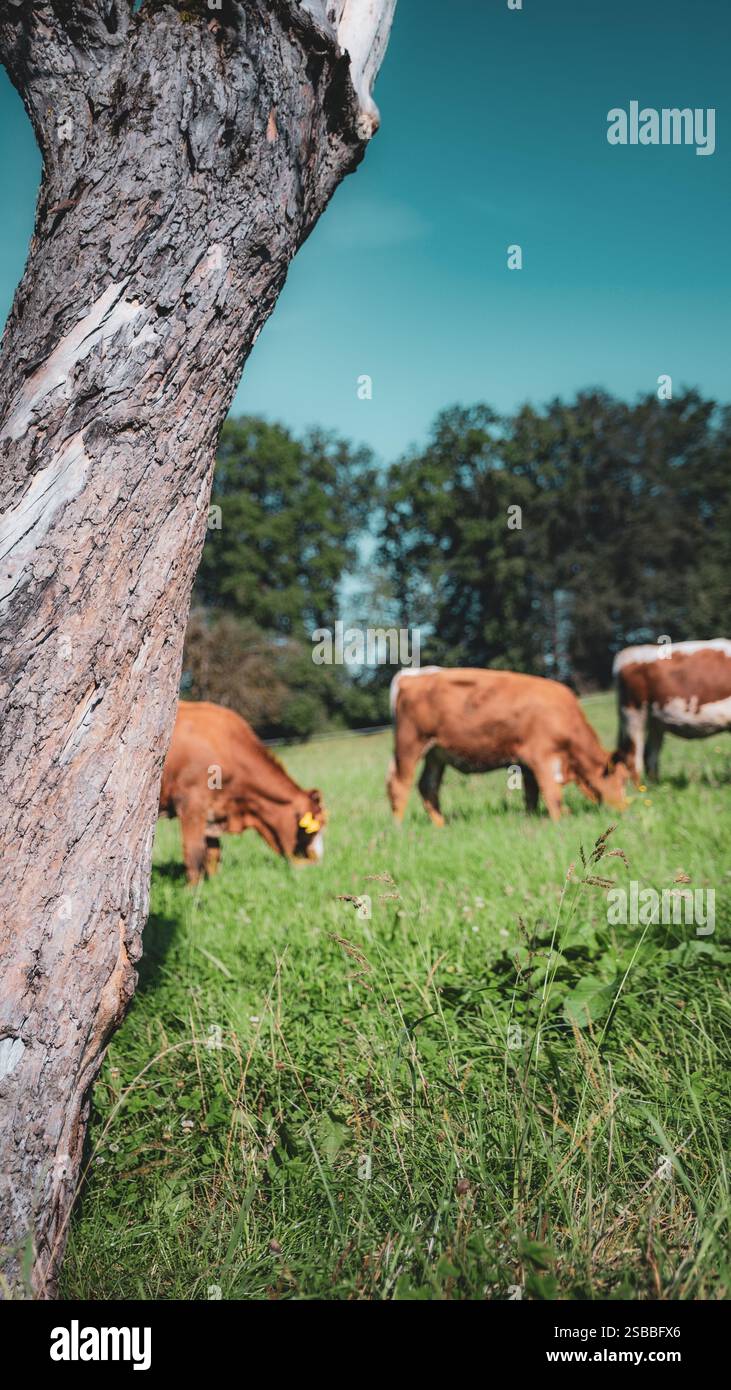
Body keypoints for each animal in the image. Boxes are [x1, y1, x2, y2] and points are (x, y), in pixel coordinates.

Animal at [159, 701, 326, 883]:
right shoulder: (192, 804)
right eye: (314, 827)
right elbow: (194, 851)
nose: (317, 862)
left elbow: (213, 853)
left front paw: (214, 883)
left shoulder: (213, 814)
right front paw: (194, 889)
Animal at [387, 666, 628, 824]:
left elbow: (531, 795)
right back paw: (399, 826)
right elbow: (552, 793)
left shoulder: (528, 765)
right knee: (399, 784)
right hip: (409, 745)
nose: (626, 807)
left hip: (436, 754)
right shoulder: (541, 756)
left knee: (428, 787)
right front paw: (559, 822)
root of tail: (411, 677)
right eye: (623, 779)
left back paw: (440, 824)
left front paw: (531, 819)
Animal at [613, 639, 731, 782]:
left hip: (655, 720)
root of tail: (626, 652)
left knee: (650, 754)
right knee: (633, 757)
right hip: (634, 713)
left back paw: (656, 784)